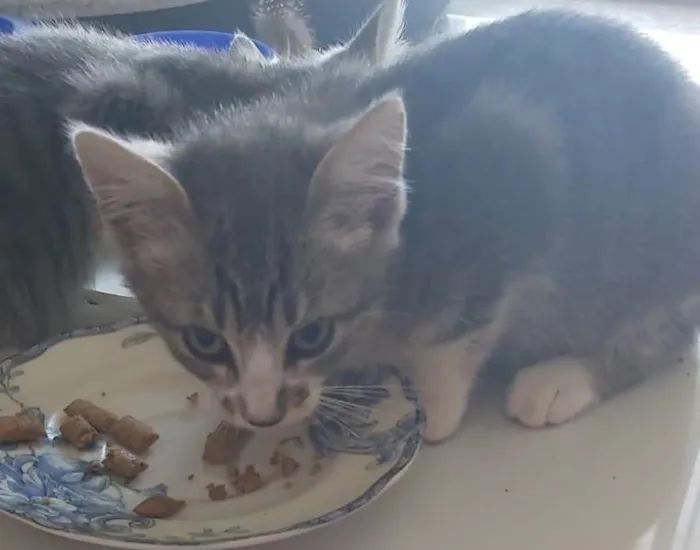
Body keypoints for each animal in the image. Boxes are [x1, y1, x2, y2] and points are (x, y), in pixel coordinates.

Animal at [72, 7, 700, 442]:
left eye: (312, 334)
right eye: (203, 341)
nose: (264, 414)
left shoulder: (516, 176)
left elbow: (458, 336)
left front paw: (433, 410)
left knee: (657, 332)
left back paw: (560, 378)